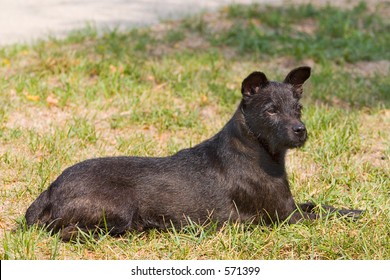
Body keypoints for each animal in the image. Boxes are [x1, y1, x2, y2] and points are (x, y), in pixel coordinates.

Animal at [25, 66, 362, 241]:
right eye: (271, 110)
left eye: (298, 108)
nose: (300, 130)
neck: (258, 151)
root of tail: (51, 189)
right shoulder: (285, 217)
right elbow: (324, 213)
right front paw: (356, 214)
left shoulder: (290, 207)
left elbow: (319, 204)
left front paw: (354, 209)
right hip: (120, 209)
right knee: (66, 231)